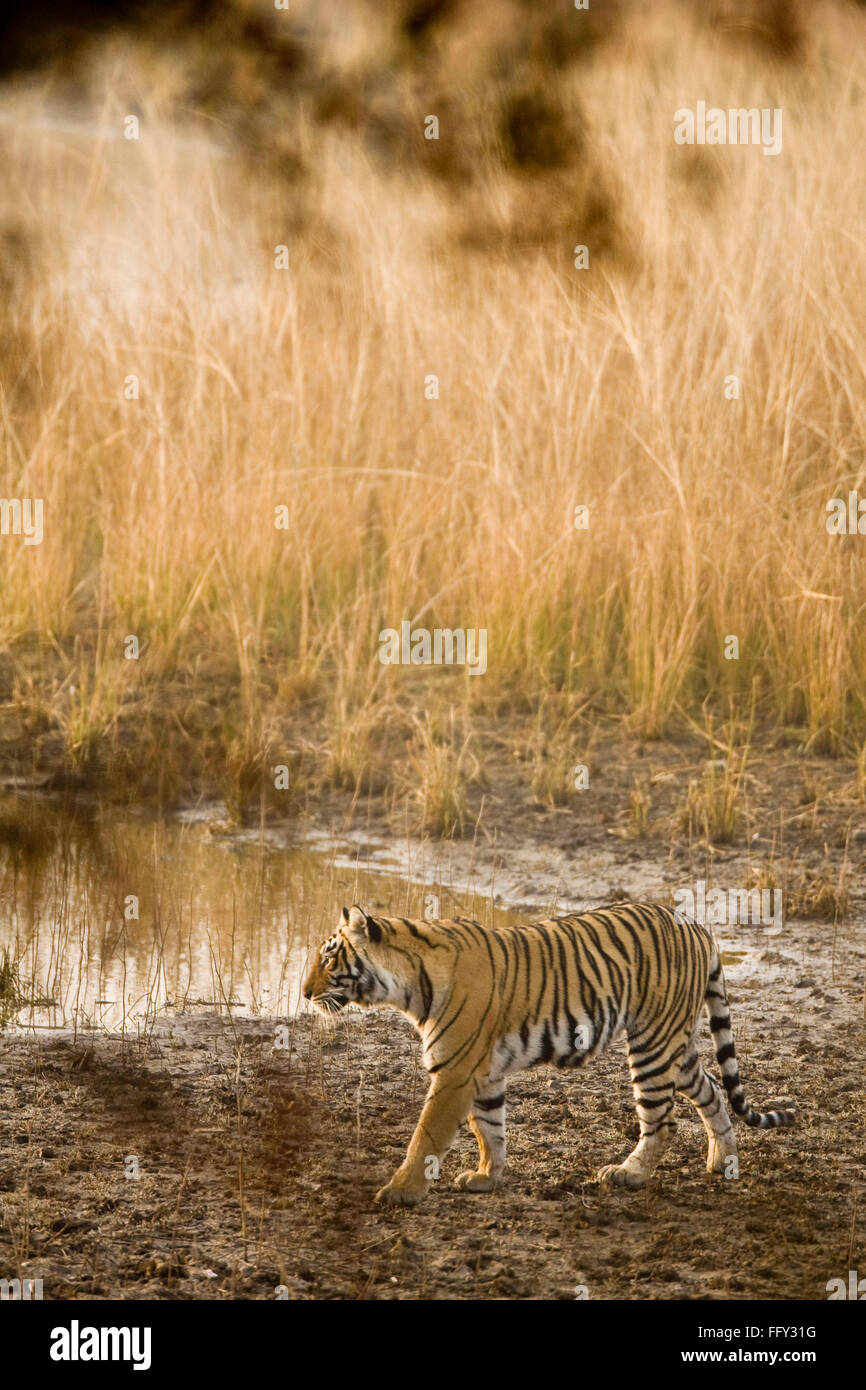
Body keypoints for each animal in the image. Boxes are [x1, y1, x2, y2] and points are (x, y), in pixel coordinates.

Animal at [301, 900, 795, 1206]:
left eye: (328, 959)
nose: (303, 993)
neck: (408, 983)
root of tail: (696, 924)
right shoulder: (483, 1072)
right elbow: (489, 1128)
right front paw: (487, 1177)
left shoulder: (455, 1071)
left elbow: (427, 1136)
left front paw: (400, 1192)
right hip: (674, 1041)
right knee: (711, 1089)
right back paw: (723, 1161)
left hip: (653, 1044)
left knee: (662, 1120)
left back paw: (629, 1174)